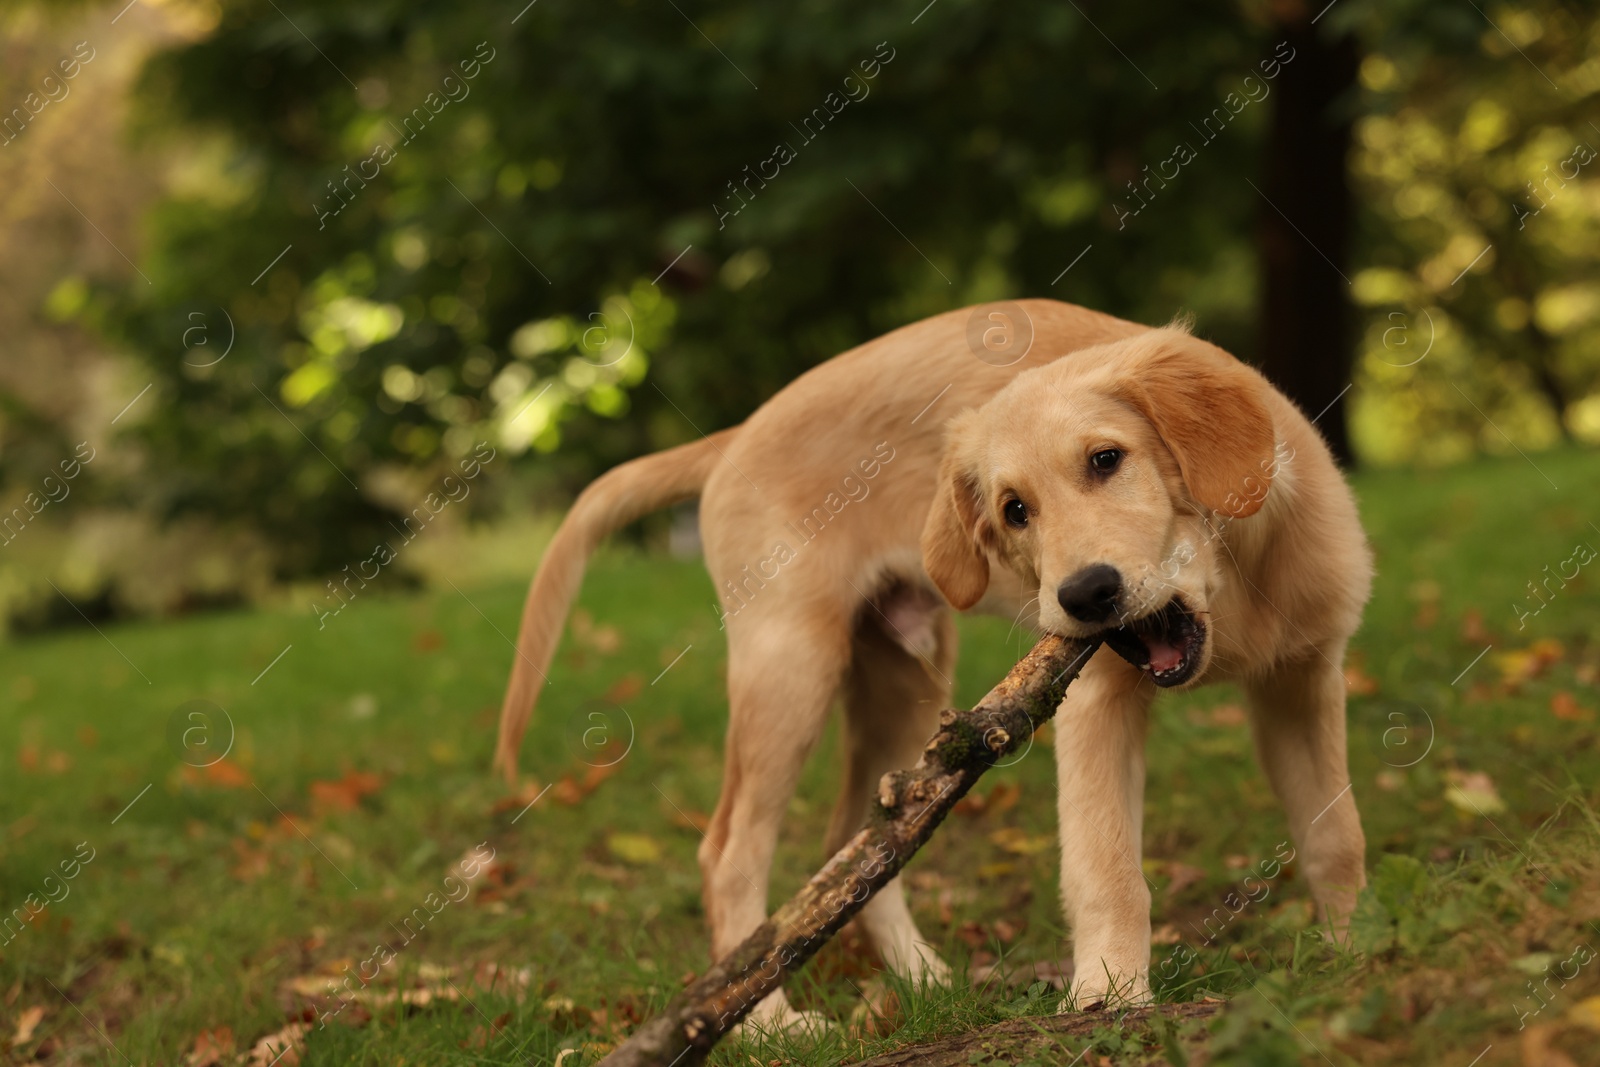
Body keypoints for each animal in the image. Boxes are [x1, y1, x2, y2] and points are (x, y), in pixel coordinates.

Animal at [492, 295, 1369, 1030]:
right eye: (1014, 511)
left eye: (1107, 459)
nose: (1084, 593)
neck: (1234, 592)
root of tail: (737, 434)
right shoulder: (1097, 701)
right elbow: (1108, 864)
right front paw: (1109, 994)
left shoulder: (1304, 679)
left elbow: (1335, 832)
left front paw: (1355, 949)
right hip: (790, 664)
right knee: (731, 852)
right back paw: (767, 1022)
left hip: (906, 680)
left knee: (863, 840)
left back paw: (922, 983)